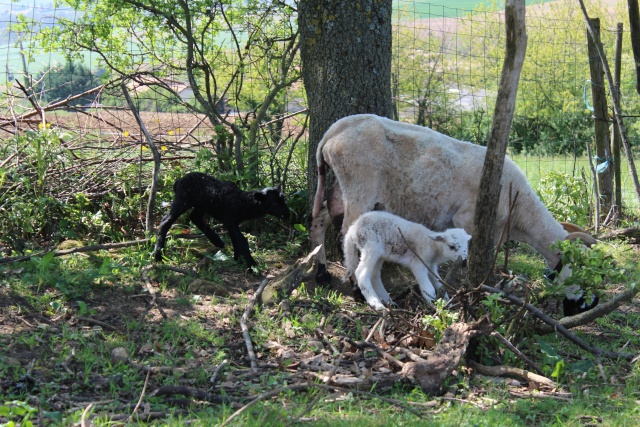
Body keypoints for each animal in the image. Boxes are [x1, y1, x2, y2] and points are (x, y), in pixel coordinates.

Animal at [154, 172, 288, 266]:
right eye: (274, 203)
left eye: (283, 199)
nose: (287, 213)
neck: (242, 203)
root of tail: (179, 181)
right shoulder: (230, 220)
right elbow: (242, 241)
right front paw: (252, 265)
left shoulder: (232, 223)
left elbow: (235, 240)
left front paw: (238, 259)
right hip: (183, 200)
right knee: (166, 221)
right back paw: (158, 256)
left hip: (202, 204)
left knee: (195, 217)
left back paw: (217, 241)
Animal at [342, 211, 472, 310]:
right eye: (451, 246)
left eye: (467, 245)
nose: (464, 262)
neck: (432, 246)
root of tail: (352, 229)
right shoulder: (418, 263)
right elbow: (428, 289)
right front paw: (433, 305)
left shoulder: (430, 265)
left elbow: (439, 284)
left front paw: (447, 302)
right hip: (371, 246)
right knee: (361, 273)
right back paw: (377, 304)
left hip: (379, 254)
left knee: (374, 275)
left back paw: (389, 302)